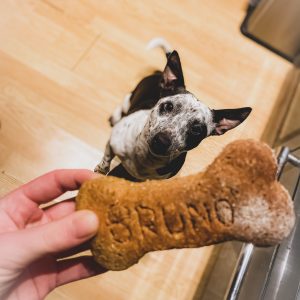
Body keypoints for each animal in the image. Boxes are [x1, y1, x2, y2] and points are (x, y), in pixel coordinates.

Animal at [94, 38, 251, 182]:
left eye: (197, 129)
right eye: (168, 106)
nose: (162, 141)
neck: (145, 158)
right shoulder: (112, 144)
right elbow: (106, 160)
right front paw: (100, 170)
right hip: (127, 102)